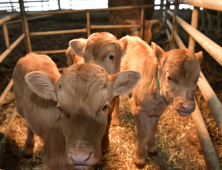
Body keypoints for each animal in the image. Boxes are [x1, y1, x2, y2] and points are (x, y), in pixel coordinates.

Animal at [12, 52, 140, 169]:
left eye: (104, 106)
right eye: (60, 108)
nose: (80, 157)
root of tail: (30, 54)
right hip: (20, 106)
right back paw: (28, 148)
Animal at [118, 36, 203, 167]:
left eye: (197, 78)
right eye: (169, 77)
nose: (187, 106)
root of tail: (129, 37)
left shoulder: (158, 111)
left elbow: (153, 128)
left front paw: (152, 148)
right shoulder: (139, 110)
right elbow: (142, 132)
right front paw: (140, 158)